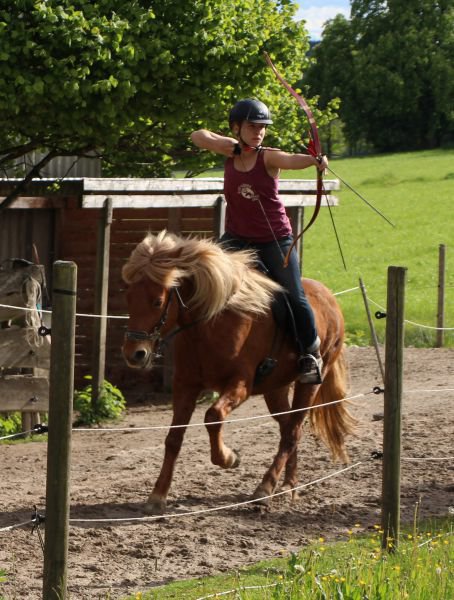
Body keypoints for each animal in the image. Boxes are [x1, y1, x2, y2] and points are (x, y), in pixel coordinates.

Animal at [122, 230, 356, 516]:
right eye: (129, 298)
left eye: (157, 301)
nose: (134, 353)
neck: (211, 323)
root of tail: (330, 298)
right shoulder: (185, 385)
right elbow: (174, 438)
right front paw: (158, 495)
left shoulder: (240, 385)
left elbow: (213, 416)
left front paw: (228, 458)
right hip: (275, 388)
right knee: (289, 428)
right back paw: (289, 485)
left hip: (308, 384)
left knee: (292, 432)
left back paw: (265, 489)